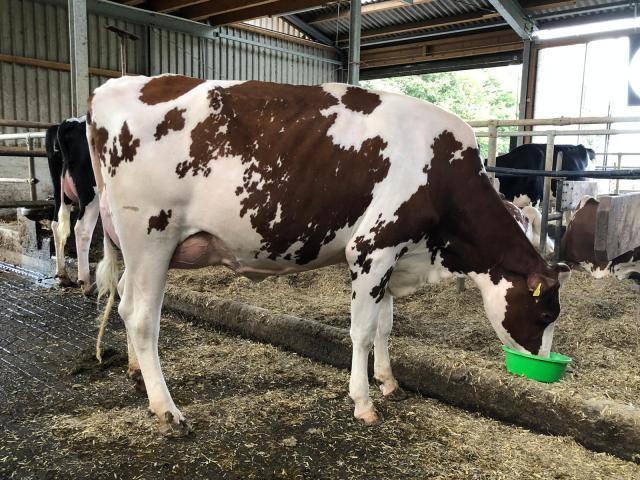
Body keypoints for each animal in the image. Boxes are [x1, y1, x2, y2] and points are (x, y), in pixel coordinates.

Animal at [45, 117, 99, 295]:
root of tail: (70, 122)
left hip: (60, 192)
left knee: (55, 224)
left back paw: (63, 275)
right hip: (92, 193)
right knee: (82, 229)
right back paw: (86, 283)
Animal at [88, 75, 570, 433]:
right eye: (546, 314)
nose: (542, 364)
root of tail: (112, 87)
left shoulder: (394, 255)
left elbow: (385, 325)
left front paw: (388, 380)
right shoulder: (372, 247)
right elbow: (362, 331)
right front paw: (363, 401)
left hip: (136, 247)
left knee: (126, 300)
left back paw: (136, 374)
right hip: (151, 233)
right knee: (141, 316)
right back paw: (167, 410)